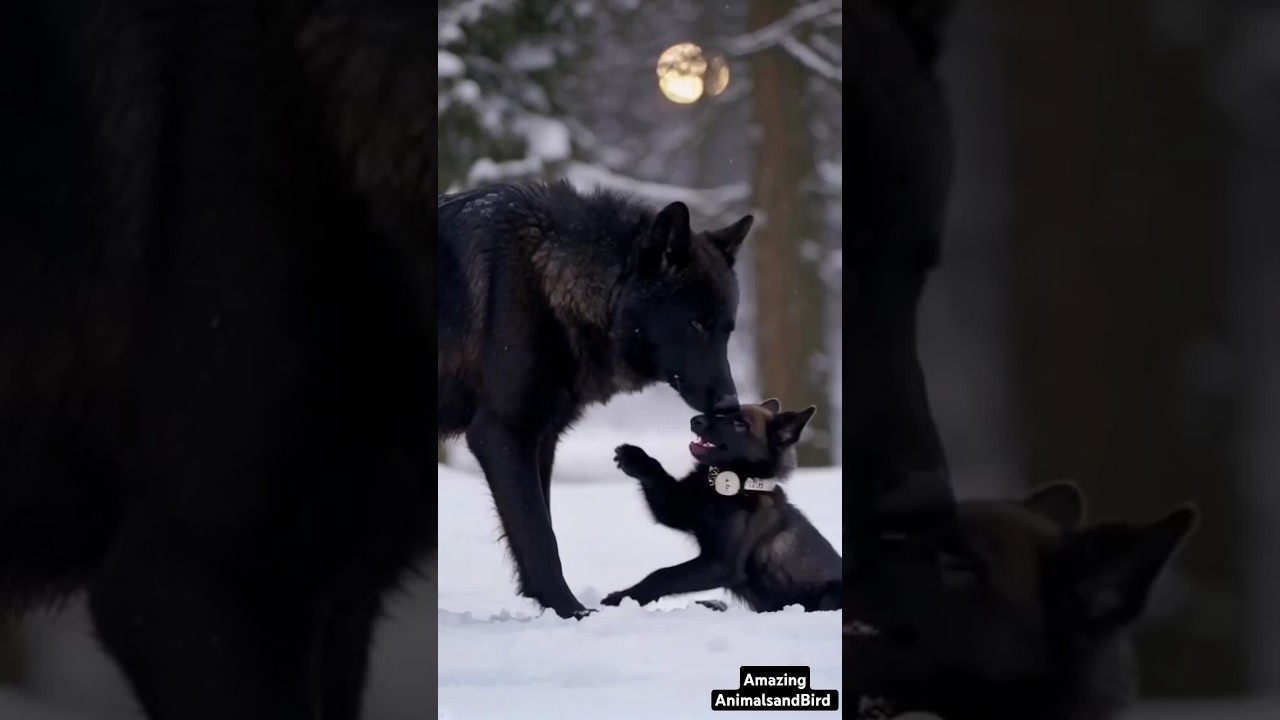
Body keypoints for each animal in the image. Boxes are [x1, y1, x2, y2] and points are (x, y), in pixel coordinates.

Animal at [438, 180, 754, 618]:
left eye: (727, 329)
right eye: (696, 324)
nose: (728, 404)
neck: (549, 281)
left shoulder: (543, 440)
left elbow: (541, 524)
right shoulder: (501, 433)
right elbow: (539, 536)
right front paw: (573, 613)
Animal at [602, 400, 841, 613]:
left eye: (741, 424)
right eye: (723, 412)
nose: (695, 420)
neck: (730, 485)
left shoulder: (721, 565)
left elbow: (663, 575)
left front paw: (619, 600)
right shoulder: (677, 509)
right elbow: (656, 474)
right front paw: (634, 457)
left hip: (830, 595)